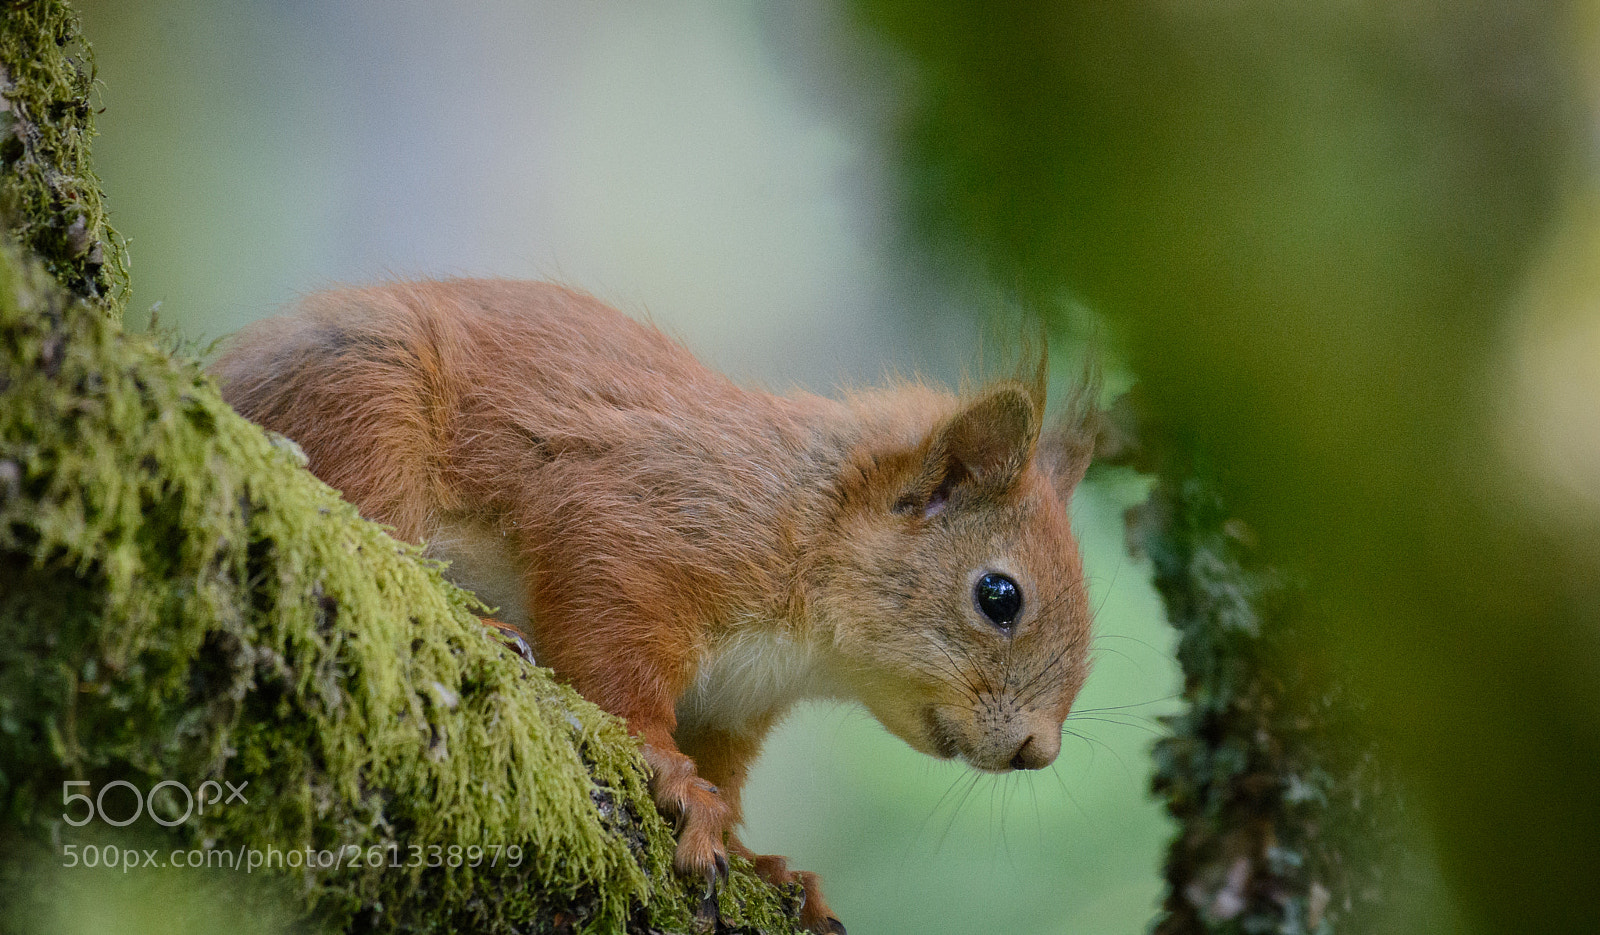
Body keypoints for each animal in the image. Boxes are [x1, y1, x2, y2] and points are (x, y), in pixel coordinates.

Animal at [211, 279, 1098, 935]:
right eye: (999, 596)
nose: (1038, 750)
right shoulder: (635, 523)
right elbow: (611, 659)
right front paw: (670, 773)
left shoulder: (734, 702)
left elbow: (725, 772)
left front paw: (760, 858)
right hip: (368, 395)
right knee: (372, 516)